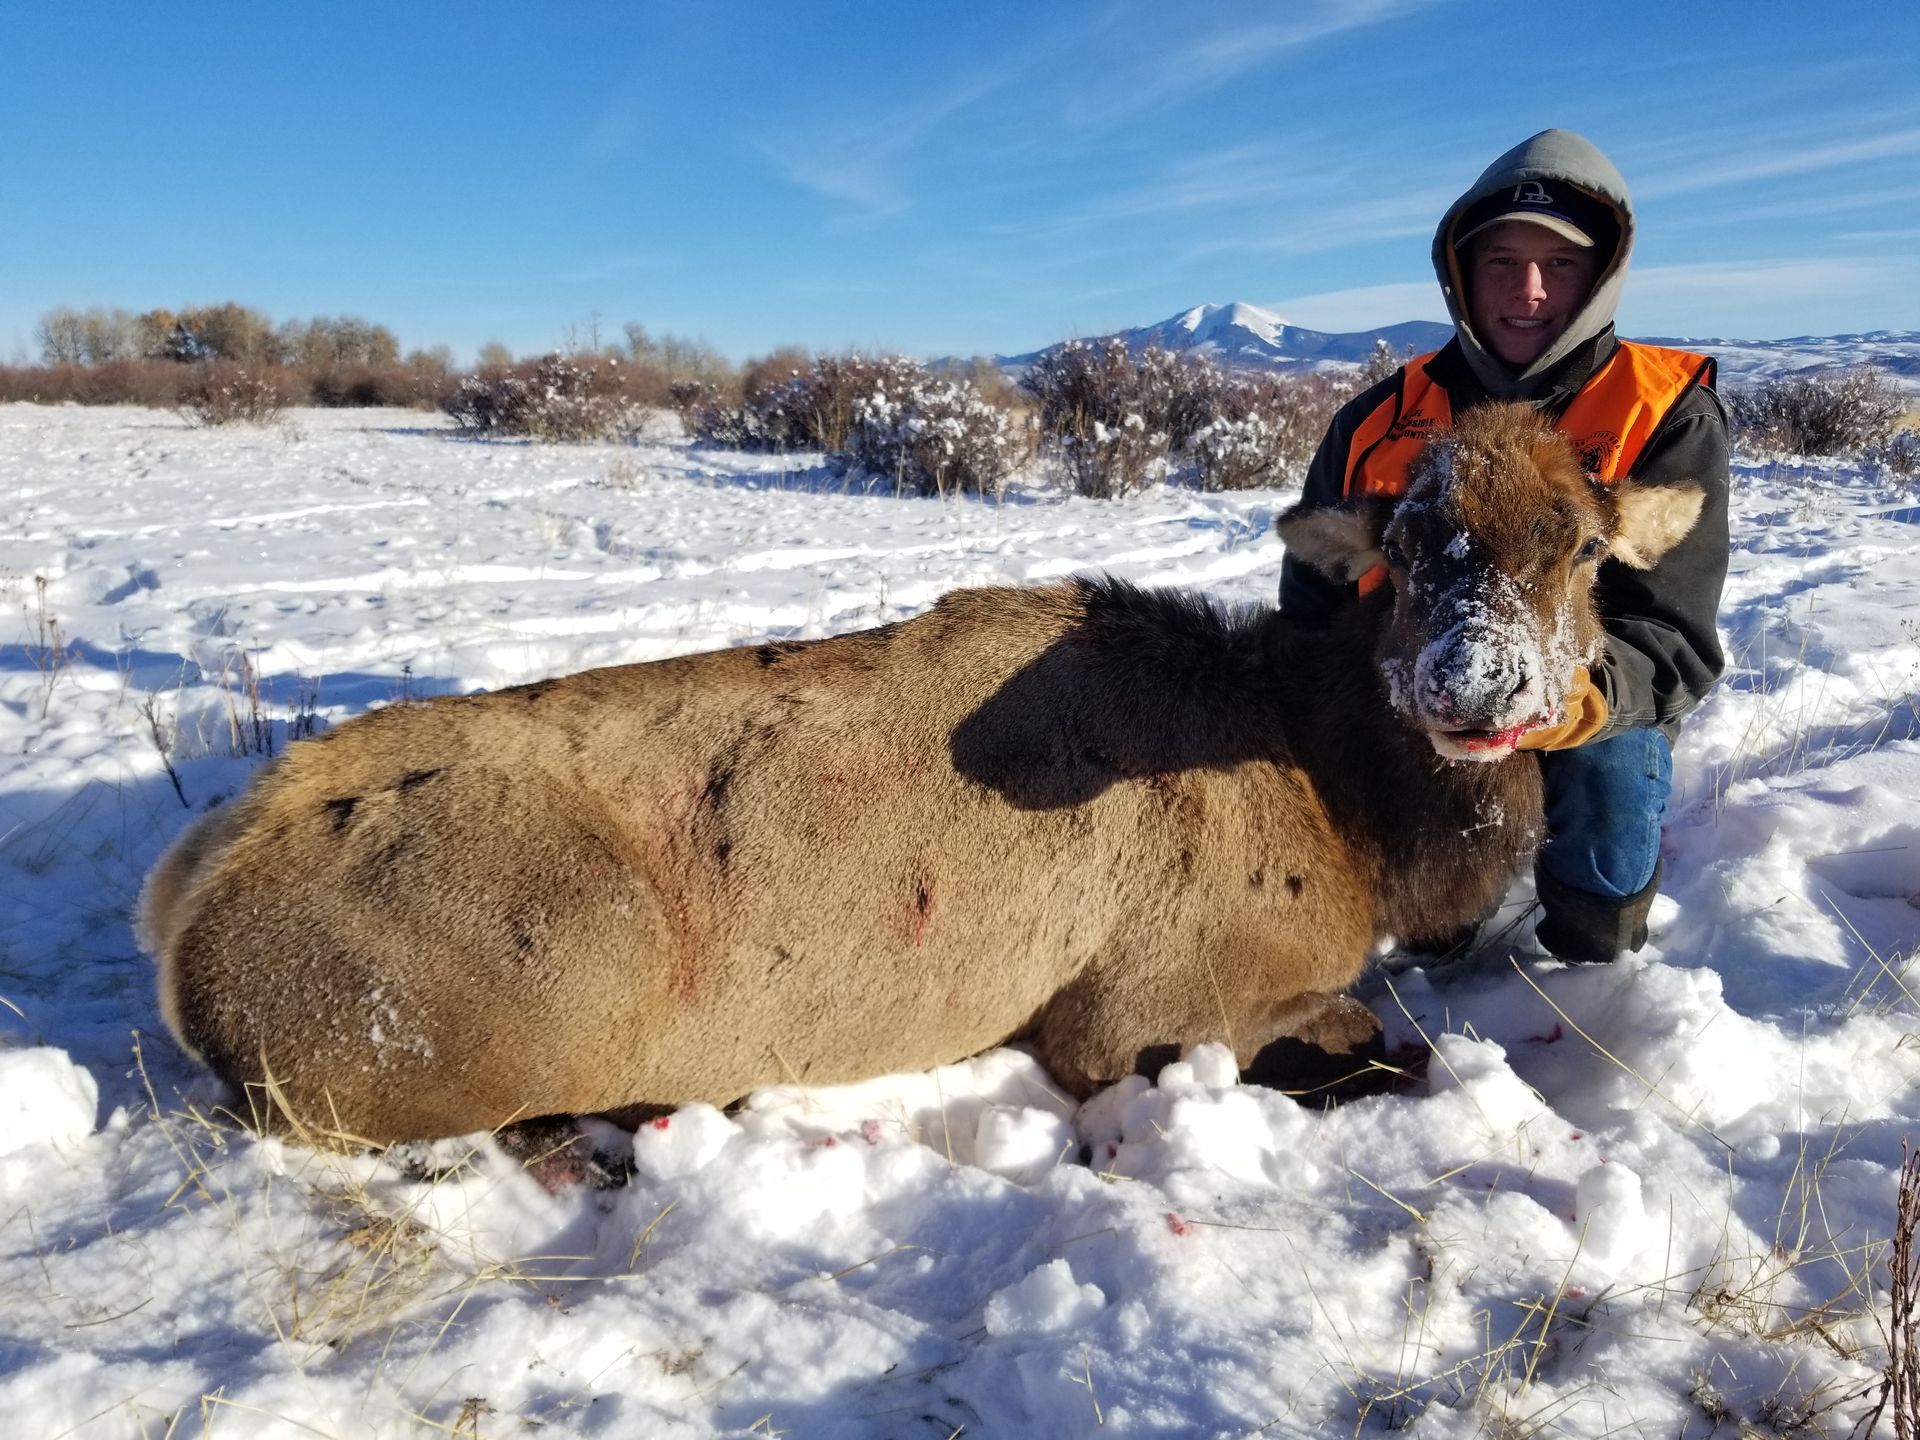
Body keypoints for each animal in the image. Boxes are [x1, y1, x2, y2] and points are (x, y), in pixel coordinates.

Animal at [139, 402, 1706, 1147]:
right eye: (1414, 542)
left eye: (1582, 546)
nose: (1476, 686)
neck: (1350, 813)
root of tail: (184, 903)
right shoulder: (1140, 1011)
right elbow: (1397, 1045)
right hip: (528, 993)